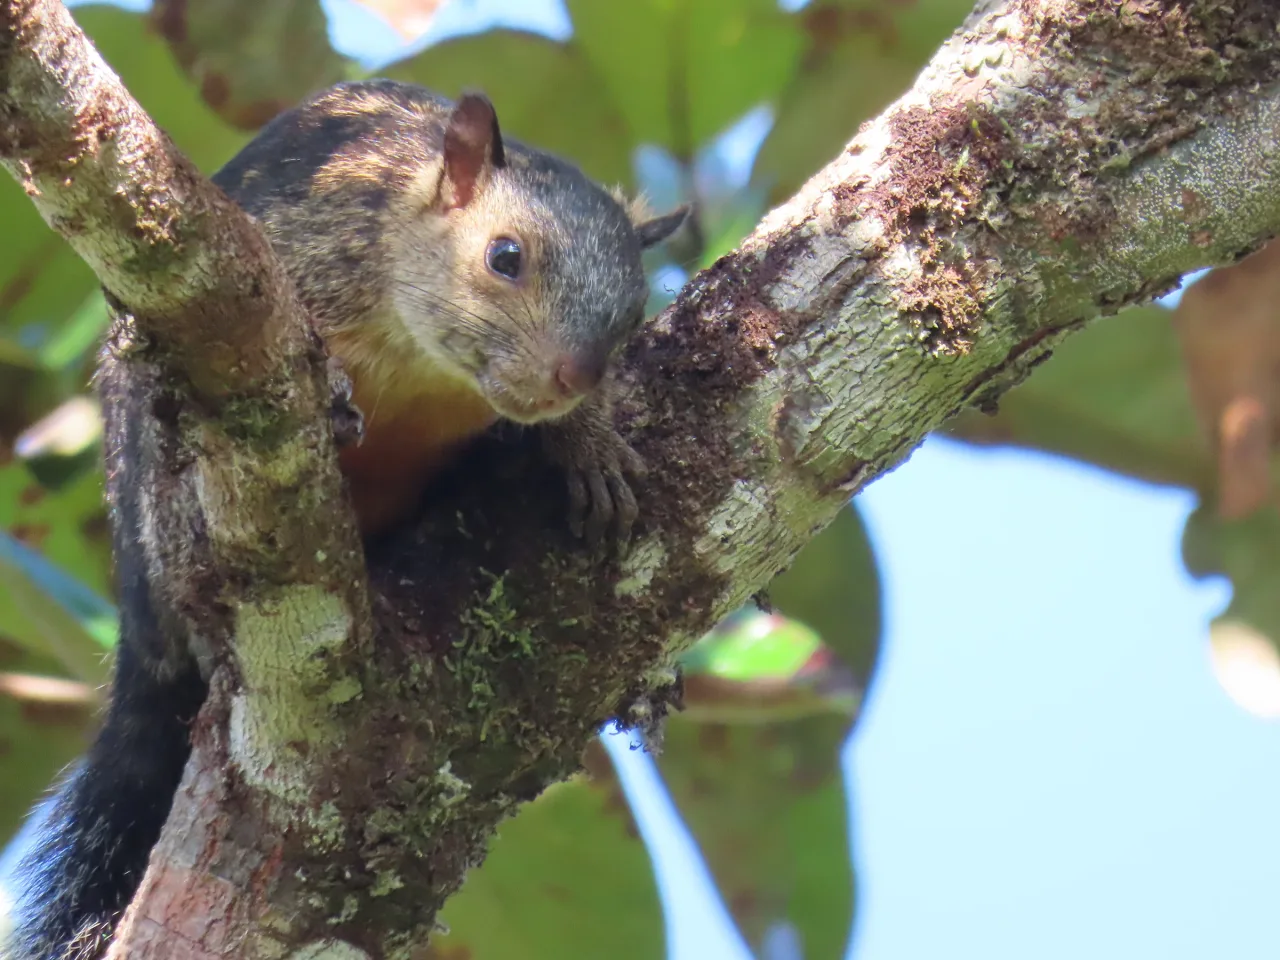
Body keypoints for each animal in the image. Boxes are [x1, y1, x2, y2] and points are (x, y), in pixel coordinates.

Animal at [7, 79, 686, 960]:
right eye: (506, 257)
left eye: (634, 312)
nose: (573, 376)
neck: (427, 368)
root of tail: (139, 629)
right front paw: (329, 386)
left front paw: (590, 443)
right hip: (152, 506)